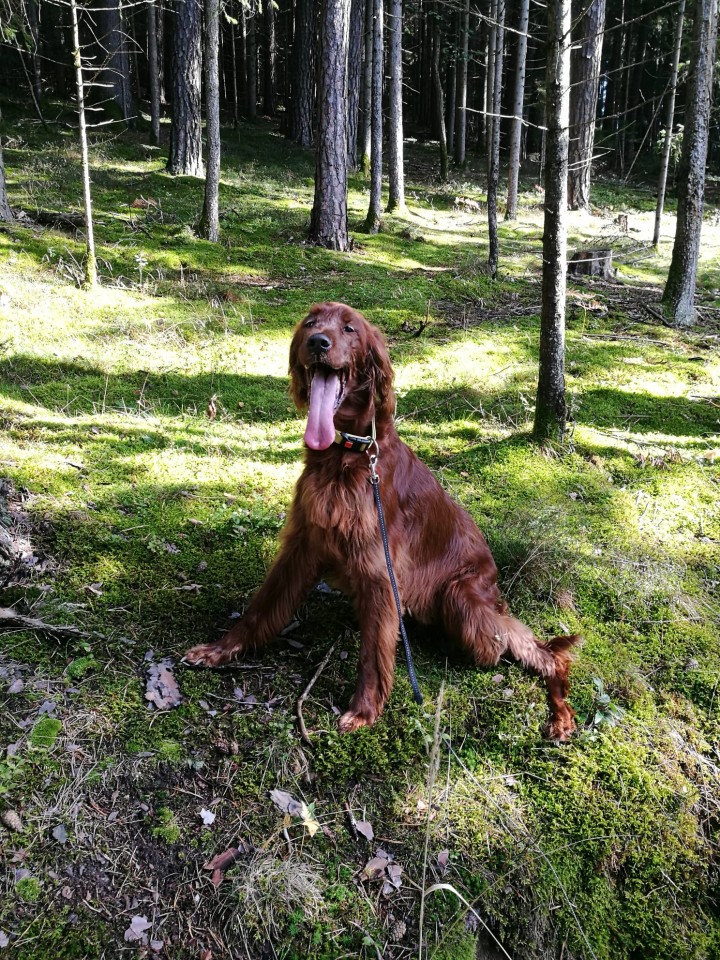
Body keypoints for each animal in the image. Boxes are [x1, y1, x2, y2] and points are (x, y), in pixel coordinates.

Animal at [184, 303, 579, 740]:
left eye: (349, 329)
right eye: (310, 323)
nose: (317, 343)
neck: (346, 456)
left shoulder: (379, 568)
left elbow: (374, 650)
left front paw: (365, 709)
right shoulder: (302, 542)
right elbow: (261, 606)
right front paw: (220, 650)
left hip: (463, 601)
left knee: (527, 647)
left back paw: (560, 712)